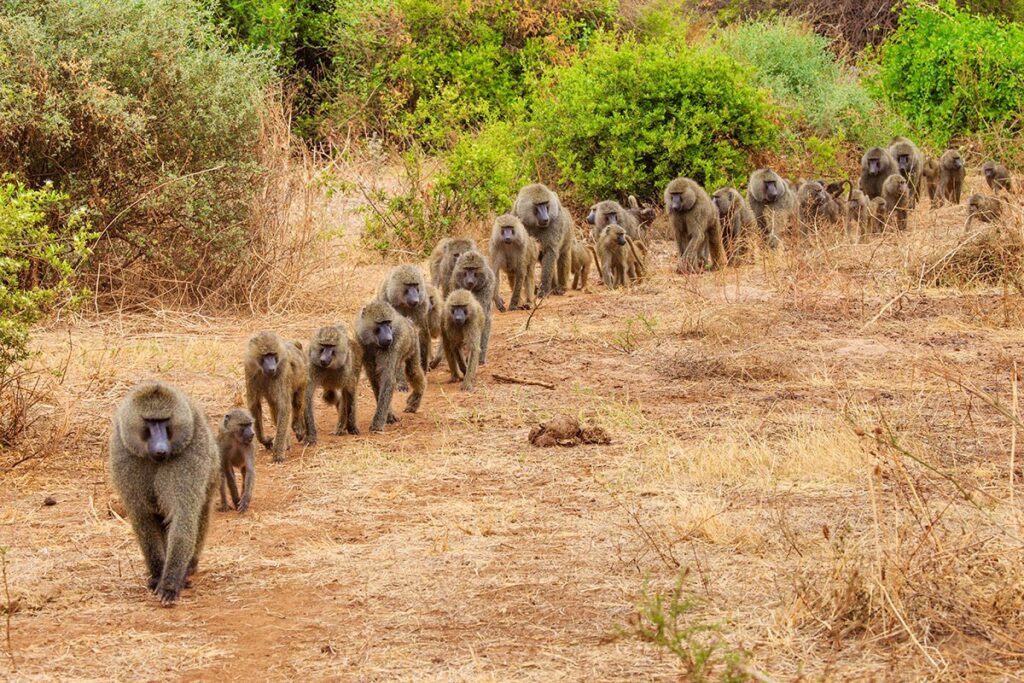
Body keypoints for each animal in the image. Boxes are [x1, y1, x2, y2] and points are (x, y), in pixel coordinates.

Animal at [108, 381, 219, 606]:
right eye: (150, 421)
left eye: (165, 420)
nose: (161, 449)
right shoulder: (124, 453)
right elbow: (143, 517)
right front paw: (158, 575)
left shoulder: (190, 458)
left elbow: (183, 516)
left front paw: (170, 583)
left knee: (200, 514)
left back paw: (188, 567)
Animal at [245, 332, 308, 463]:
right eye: (265, 355)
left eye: (273, 354)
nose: (272, 368)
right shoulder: (250, 370)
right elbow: (255, 406)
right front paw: (264, 440)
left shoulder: (282, 373)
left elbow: (284, 408)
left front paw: (278, 453)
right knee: (274, 408)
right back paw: (287, 441)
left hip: (303, 378)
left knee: (297, 404)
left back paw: (298, 427)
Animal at [355, 299, 424, 432]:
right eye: (380, 323)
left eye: (388, 323)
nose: (388, 338)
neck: (373, 341)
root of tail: (408, 320)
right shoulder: (362, 344)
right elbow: (374, 379)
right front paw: (389, 416)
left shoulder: (392, 345)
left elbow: (387, 380)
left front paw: (377, 424)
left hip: (413, 343)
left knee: (413, 371)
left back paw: (416, 398)